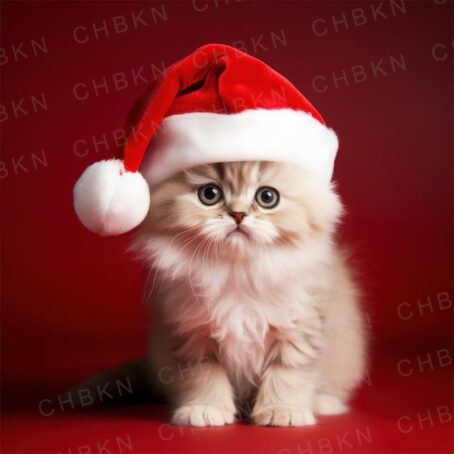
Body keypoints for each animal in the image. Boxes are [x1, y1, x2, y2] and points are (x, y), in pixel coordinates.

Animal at [130, 160, 366, 426]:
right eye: (210, 194)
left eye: (267, 197)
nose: (238, 215)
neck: (238, 273)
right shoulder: (194, 336)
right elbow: (204, 376)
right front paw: (205, 409)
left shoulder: (299, 329)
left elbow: (287, 374)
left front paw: (282, 411)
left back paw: (324, 403)